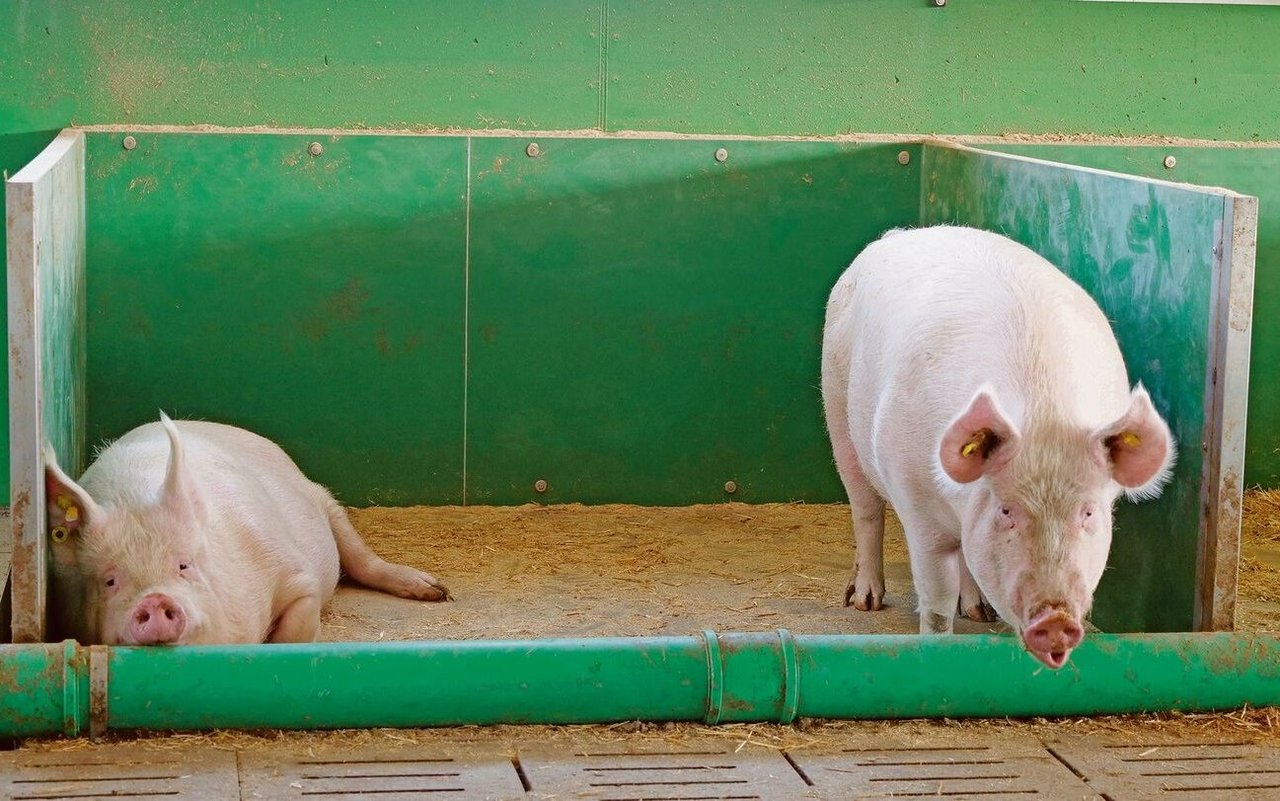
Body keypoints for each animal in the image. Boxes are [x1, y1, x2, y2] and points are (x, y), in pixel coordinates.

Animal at [43, 414, 450, 644]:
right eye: (109, 581)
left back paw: (436, 591)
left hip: (323, 500)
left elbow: (295, 626)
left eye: (185, 565)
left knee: (361, 557)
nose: (155, 600)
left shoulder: (295, 573)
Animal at [824, 226, 1172, 665]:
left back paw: (978, 610)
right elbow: (936, 598)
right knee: (865, 509)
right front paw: (934, 641)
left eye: (1088, 512)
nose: (1056, 618)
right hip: (836, 408)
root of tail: (896, 235)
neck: (1043, 417)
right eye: (1007, 510)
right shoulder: (917, 506)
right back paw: (864, 601)